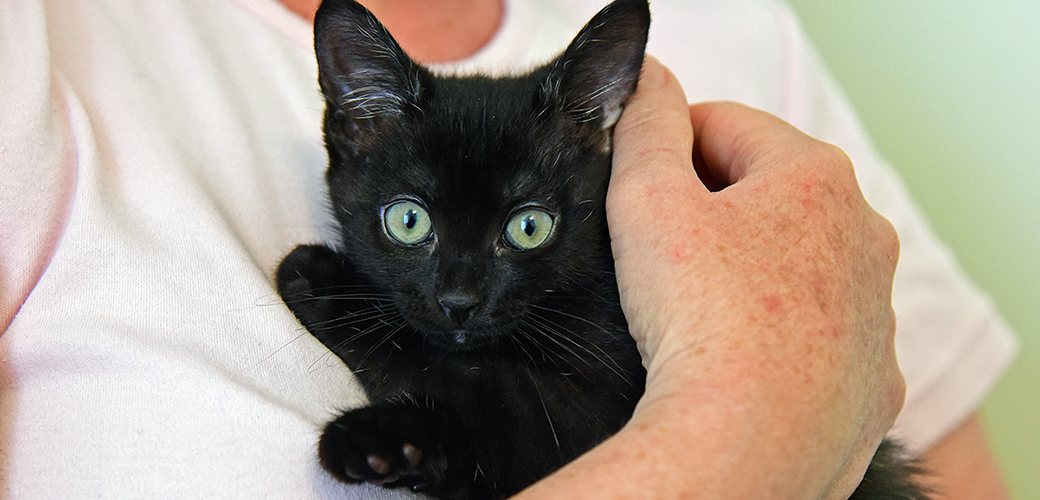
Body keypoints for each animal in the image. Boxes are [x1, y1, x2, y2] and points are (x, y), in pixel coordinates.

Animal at [276, 0, 927, 498]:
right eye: (409, 221)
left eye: (529, 228)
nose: (459, 301)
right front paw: (392, 446)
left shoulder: (588, 418)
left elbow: (479, 379)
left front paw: (323, 283)